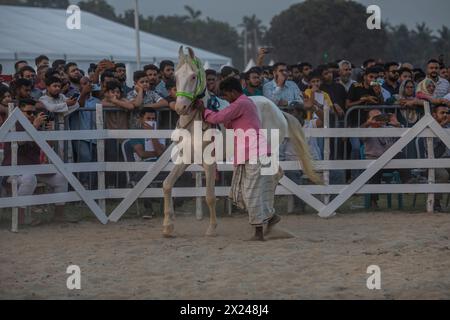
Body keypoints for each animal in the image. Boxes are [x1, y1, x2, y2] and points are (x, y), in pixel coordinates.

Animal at [160, 47, 318, 238]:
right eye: (176, 76)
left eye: (193, 76)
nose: (180, 107)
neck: (196, 124)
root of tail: (278, 110)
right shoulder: (184, 159)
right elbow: (167, 185)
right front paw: (168, 227)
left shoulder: (210, 163)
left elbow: (210, 196)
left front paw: (211, 228)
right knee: (276, 175)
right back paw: (267, 219)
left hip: (268, 153)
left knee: (273, 176)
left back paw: (267, 218)